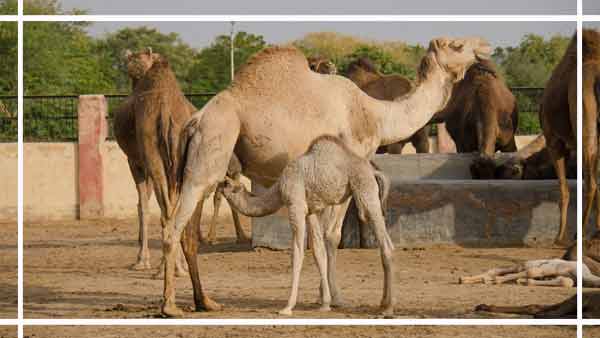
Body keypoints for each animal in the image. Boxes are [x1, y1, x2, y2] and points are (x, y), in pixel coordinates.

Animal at [220, 135, 394, 316]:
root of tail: (374, 171)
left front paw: (287, 307)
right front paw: (325, 304)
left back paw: (387, 308)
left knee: (385, 243)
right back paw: (382, 304)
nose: (220, 182)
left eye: (227, 184)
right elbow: (318, 252)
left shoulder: (295, 205)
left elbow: (297, 253)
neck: (279, 188)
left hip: (365, 190)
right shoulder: (312, 210)